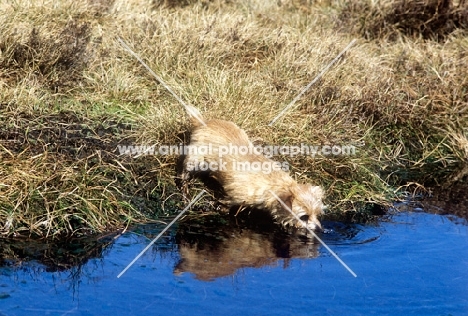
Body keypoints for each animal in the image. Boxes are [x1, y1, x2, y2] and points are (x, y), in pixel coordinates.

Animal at [181, 105, 324, 231]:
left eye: (317, 214)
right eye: (304, 217)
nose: (319, 229)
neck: (274, 185)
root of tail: (202, 122)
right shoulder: (237, 194)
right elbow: (228, 202)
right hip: (196, 160)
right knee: (184, 173)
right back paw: (185, 191)